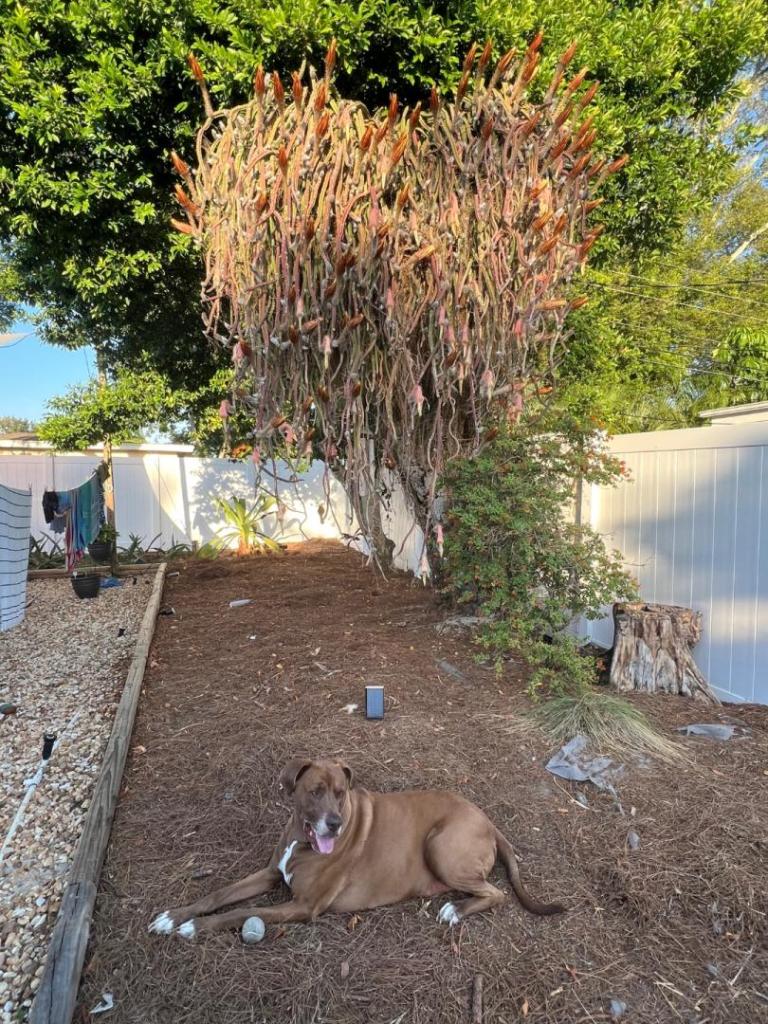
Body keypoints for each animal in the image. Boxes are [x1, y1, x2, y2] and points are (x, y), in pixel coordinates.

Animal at [149, 757, 564, 940]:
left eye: (341, 793)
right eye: (316, 791)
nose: (334, 823)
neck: (302, 838)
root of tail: (489, 822)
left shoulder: (303, 906)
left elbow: (242, 911)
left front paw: (194, 927)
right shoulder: (269, 874)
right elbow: (220, 894)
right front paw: (174, 916)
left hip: (441, 845)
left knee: (497, 893)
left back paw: (457, 910)